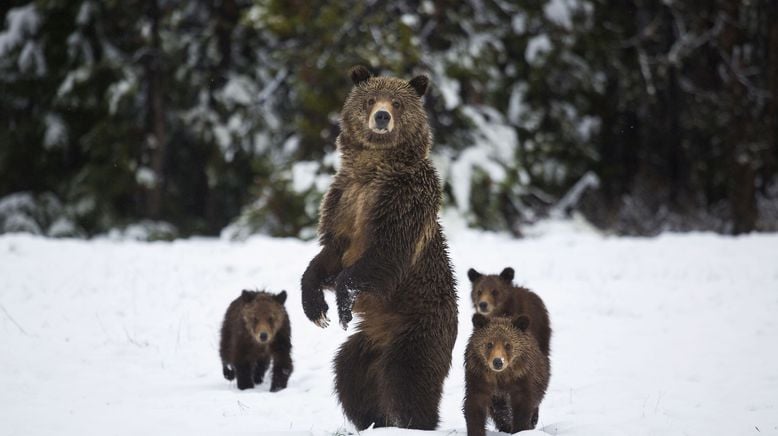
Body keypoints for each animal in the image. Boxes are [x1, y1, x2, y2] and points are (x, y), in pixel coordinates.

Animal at [298, 64, 454, 430]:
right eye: (370, 99)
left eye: (397, 102)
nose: (381, 117)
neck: (373, 170)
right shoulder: (343, 201)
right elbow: (328, 254)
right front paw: (317, 309)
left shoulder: (401, 202)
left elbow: (385, 254)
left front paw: (341, 304)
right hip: (366, 343)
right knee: (349, 376)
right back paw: (373, 419)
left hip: (417, 329)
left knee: (407, 380)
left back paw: (413, 422)